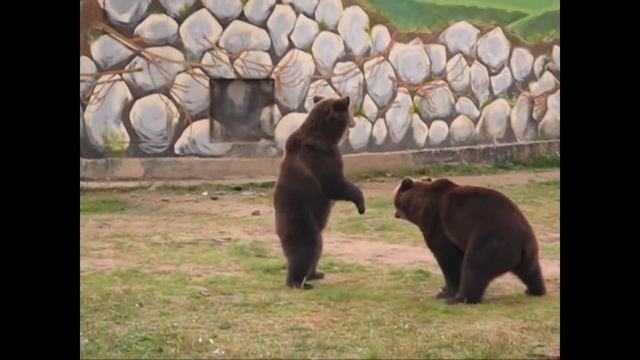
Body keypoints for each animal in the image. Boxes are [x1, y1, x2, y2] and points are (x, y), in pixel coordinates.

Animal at [274, 95, 364, 290]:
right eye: (350, 111)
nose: (355, 121)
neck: (326, 135)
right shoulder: (323, 158)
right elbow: (335, 185)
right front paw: (361, 204)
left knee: (318, 248)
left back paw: (315, 274)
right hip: (301, 220)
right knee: (306, 249)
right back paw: (298, 281)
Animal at [392, 177, 548, 304]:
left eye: (395, 200)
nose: (395, 214)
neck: (418, 205)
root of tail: (522, 240)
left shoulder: (437, 224)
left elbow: (448, 258)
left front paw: (445, 292)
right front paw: (443, 289)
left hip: (490, 241)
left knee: (475, 267)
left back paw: (460, 299)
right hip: (528, 251)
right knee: (531, 271)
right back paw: (534, 290)